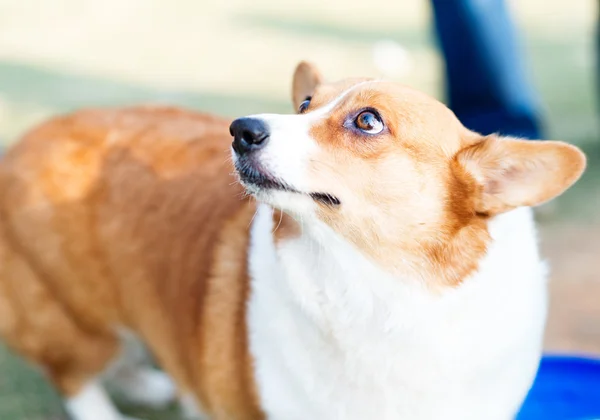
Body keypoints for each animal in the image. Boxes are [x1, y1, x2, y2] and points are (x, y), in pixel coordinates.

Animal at [0, 60, 584, 418]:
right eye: (304, 103)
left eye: (367, 120)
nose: (240, 129)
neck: (380, 287)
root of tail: (23, 142)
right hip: (66, 314)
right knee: (78, 375)